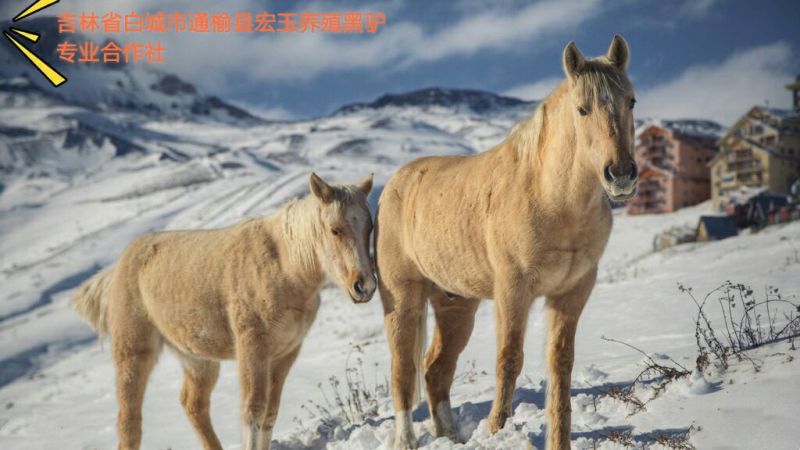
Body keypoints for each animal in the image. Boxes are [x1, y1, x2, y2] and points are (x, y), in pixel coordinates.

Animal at [71, 172, 376, 450]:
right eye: (334, 229)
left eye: (370, 228)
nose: (365, 286)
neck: (284, 266)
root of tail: (119, 266)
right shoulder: (253, 349)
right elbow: (253, 411)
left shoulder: (285, 354)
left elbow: (270, 413)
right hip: (133, 354)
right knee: (129, 421)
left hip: (198, 360)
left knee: (194, 405)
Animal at [375, 35, 637, 449]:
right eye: (582, 109)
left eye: (631, 101)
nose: (622, 175)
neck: (551, 198)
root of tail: (393, 186)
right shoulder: (513, 289)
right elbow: (509, 359)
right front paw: (497, 430)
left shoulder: (571, 292)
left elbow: (560, 363)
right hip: (403, 299)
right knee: (403, 371)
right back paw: (406, 440)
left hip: (455, 305)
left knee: (435, 369)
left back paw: (451, 435)